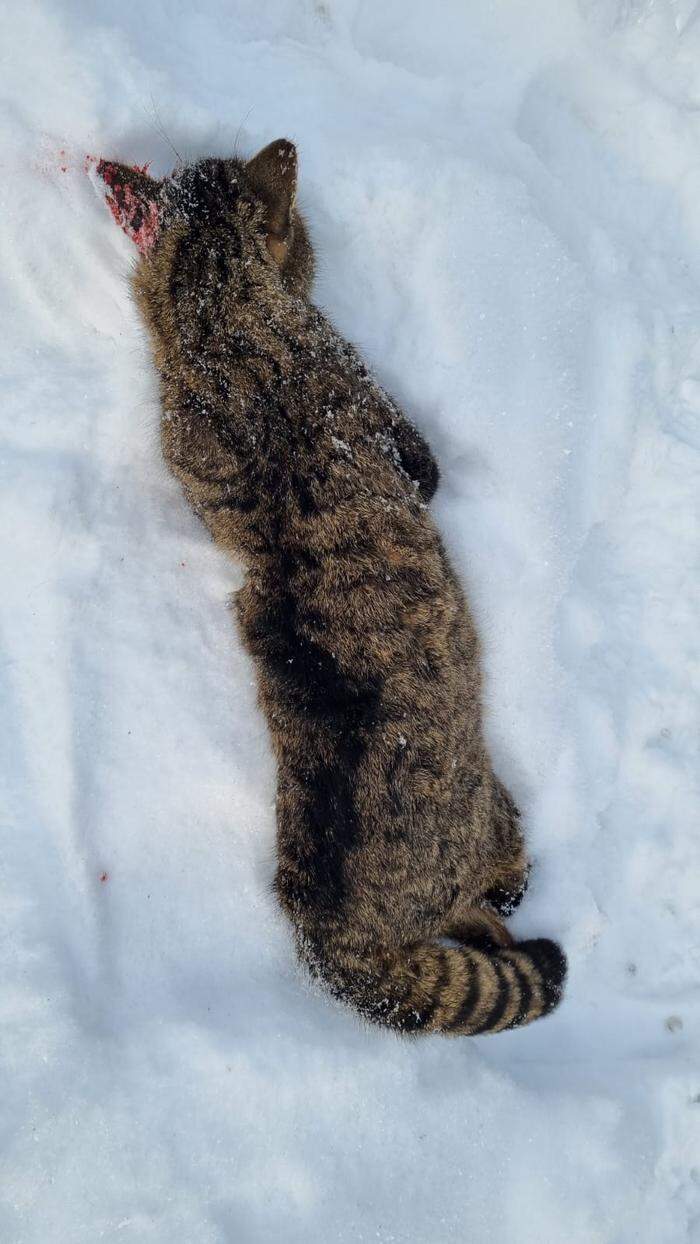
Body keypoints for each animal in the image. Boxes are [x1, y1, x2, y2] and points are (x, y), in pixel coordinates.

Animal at [98, 136, 566, 1035]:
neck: (218, 317)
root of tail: (330, 933)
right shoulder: (391, 427)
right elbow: (422, 465)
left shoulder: (189, 452)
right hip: (478, 818)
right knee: (490, 891)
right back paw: (518, 898)